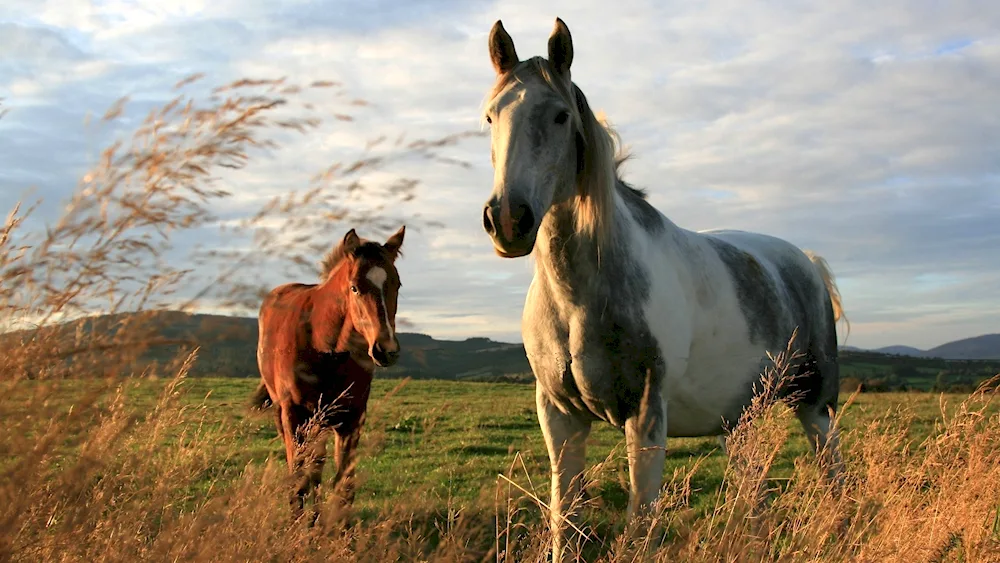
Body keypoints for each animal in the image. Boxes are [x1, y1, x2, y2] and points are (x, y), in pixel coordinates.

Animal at [480, 16, 848, 560]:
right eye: (490, 117)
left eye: (561, 116)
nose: (508, 220)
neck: (579, 299)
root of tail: (806, 263)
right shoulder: (559, 418)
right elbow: (564, 521)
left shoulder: (647, 416)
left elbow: (641, 524)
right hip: (738, 421)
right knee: (753, 493)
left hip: (816, 406)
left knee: (834, 477)